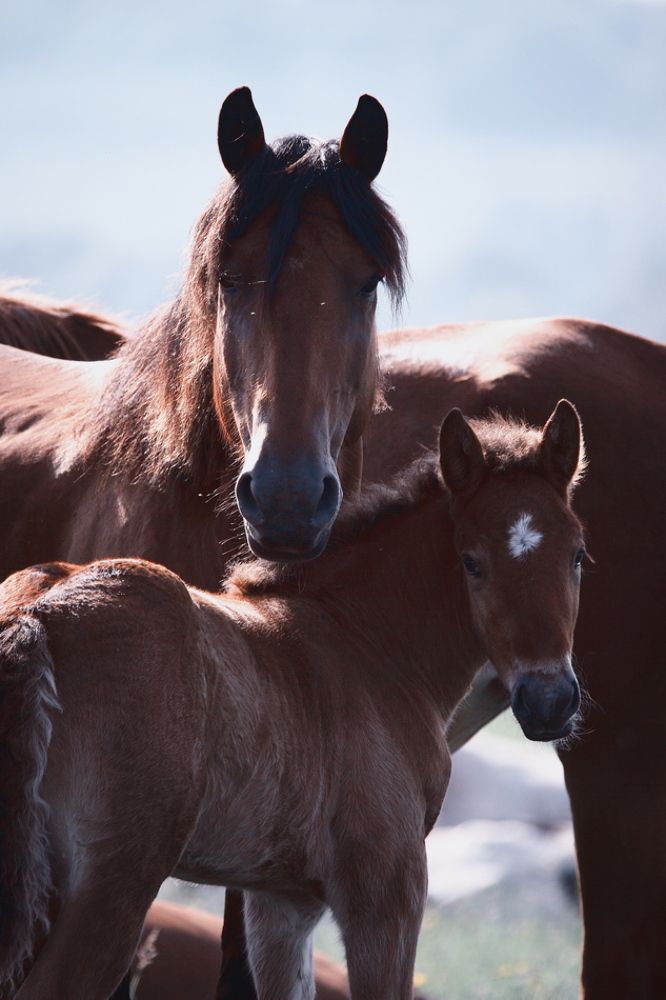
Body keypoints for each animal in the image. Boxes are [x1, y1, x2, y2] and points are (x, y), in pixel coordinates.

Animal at [0, 402, 585, 1000]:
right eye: (471, 562)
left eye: (577, 556)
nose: (548, 701)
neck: (365, 641)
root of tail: (37, 612)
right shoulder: (388, 893)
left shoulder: (281, 904)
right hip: (111, 890)